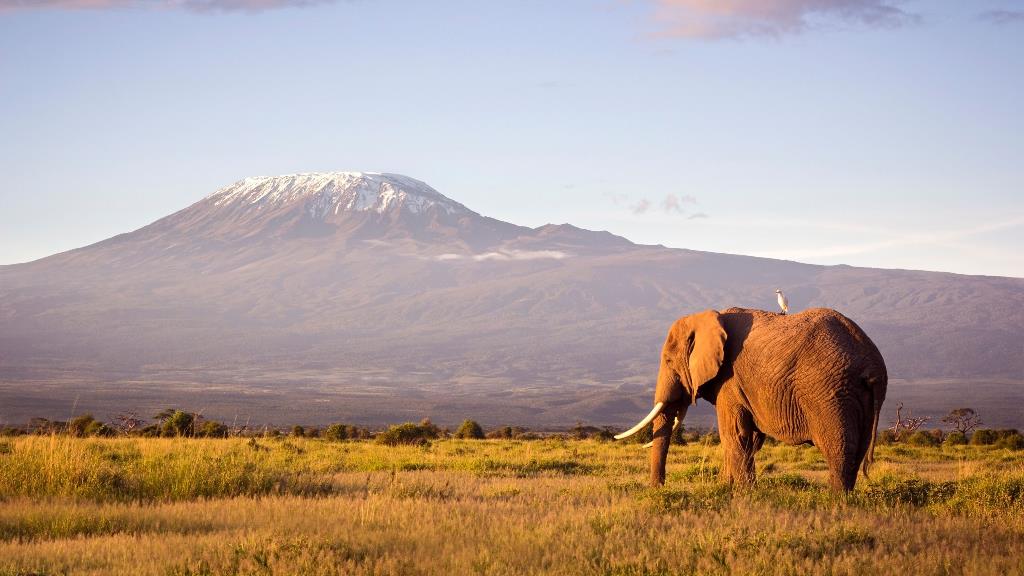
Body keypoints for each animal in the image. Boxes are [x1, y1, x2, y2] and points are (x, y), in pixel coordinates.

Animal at [614, 305, 888, 487]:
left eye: (669, 361)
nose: (658, 489)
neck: (708, 317)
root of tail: (872, 364)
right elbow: (750, 439)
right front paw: (725, 489)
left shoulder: (730, 381)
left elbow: (735, 435)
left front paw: (742, 495)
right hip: (858, 397)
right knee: (857, 452)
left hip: (829, 394)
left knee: (839, 450)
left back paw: (834, 502)